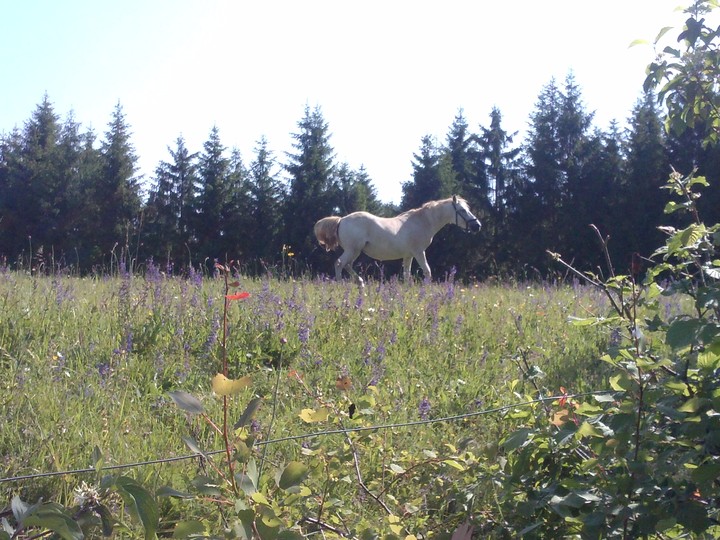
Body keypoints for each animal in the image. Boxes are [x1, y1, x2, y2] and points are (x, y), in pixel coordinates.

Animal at [314, 195, 480, 286]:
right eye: (463, 210)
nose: (477, 226)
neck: (423, 221)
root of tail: (341, 220)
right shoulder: (419, 252)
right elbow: (427, 271)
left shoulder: (408, 255)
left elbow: (407, 275)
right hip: (352, 250)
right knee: (339, 264)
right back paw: (341, 285)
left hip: (355, 251)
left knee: (347, 265)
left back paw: (360, 283)